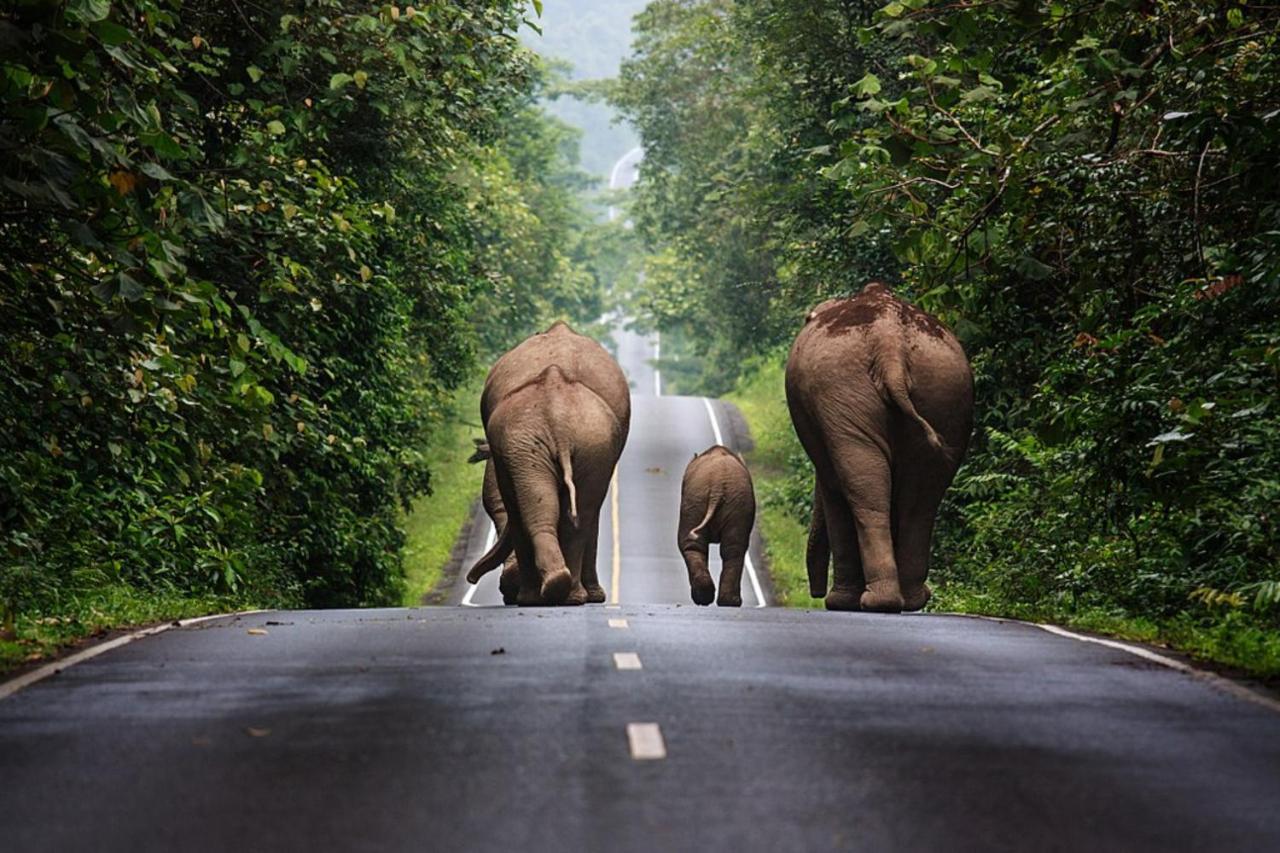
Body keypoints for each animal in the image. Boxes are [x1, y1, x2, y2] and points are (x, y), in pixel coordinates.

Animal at [471, 320, 629, 604]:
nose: (472, 578)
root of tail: (557, 416)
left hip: (574, 442)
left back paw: (547, 594)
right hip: (576, 443)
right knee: (576, 512)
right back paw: (561, 591)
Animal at [675, 445, 752, 604]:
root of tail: (717, 487)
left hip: (700, 501)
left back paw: (714, 600)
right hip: (712, 501)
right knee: (732, 548)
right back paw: (723, 601)